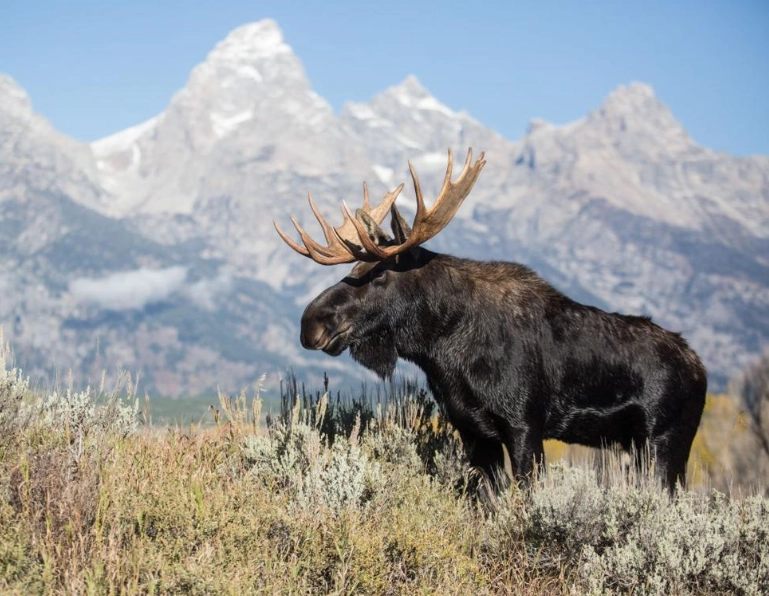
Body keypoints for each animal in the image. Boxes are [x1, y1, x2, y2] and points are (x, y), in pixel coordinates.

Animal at [274, 148, 707, 492]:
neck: (442, 350)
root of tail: (699, 367)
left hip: (665, 441)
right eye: (355, 268)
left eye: (379, 274)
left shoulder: (524, 423)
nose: (311, 323)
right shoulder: (472, 429)